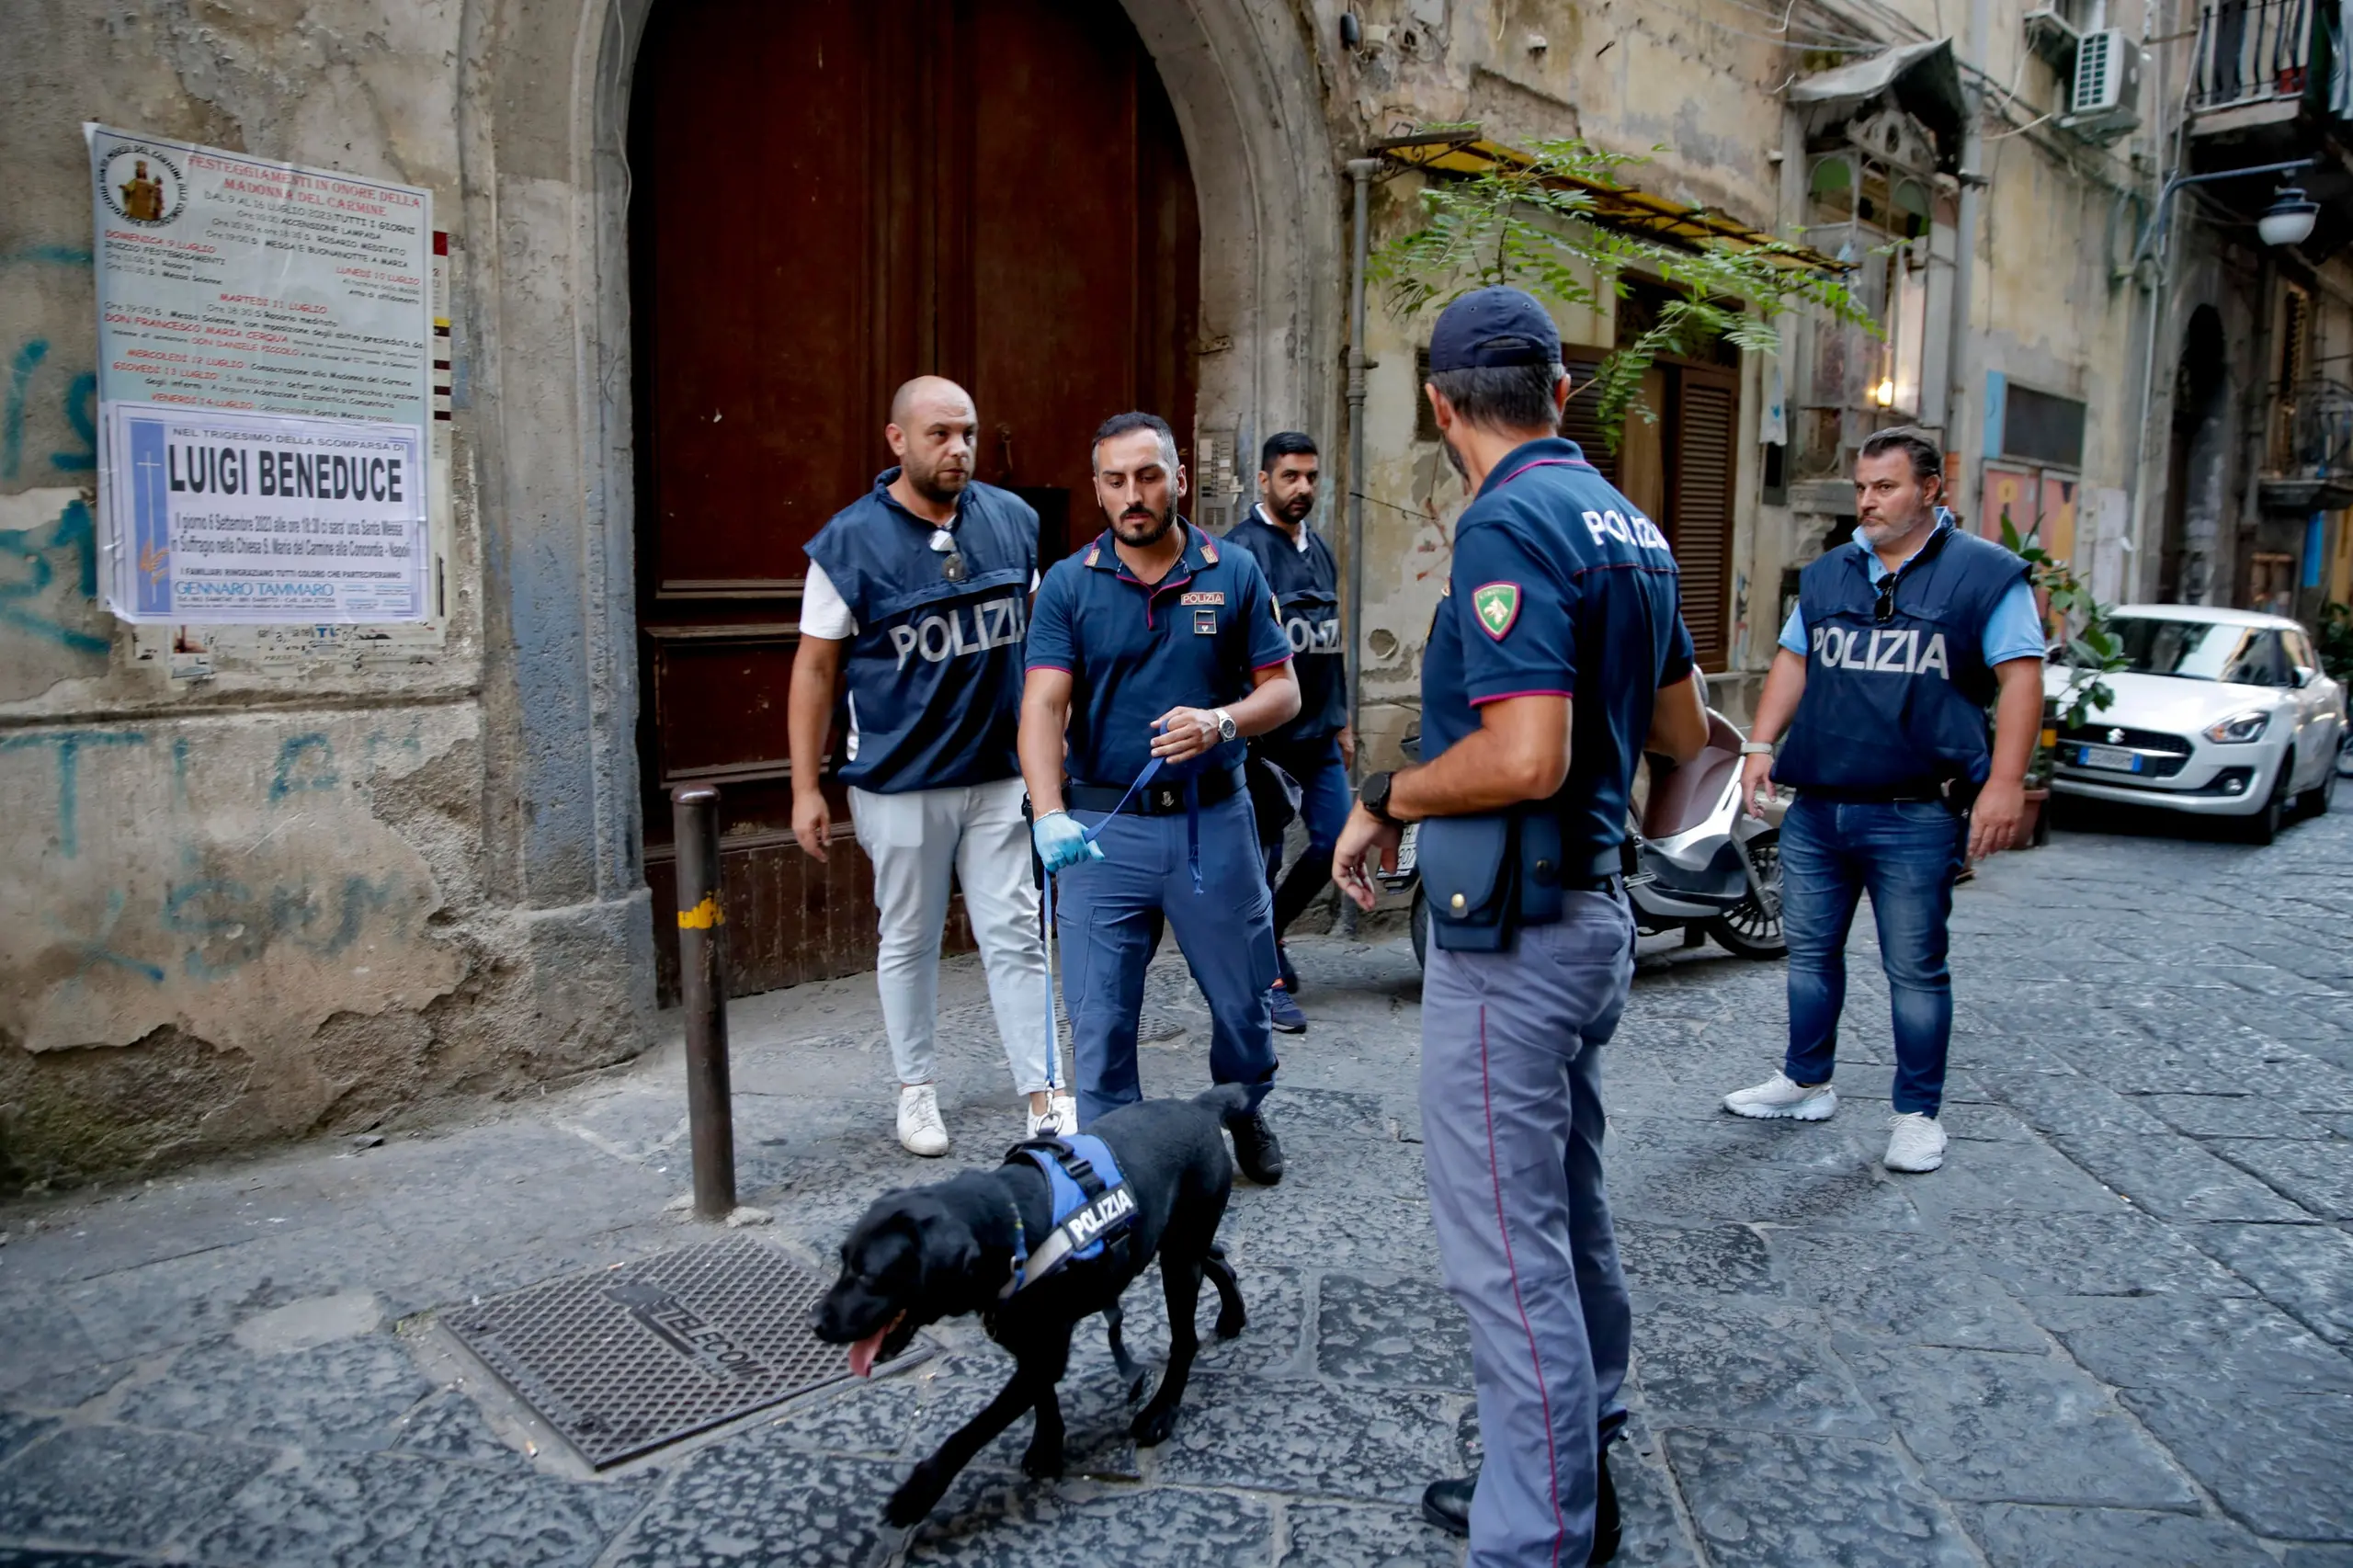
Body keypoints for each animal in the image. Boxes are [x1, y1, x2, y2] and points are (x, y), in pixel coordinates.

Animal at [809, 1083, 1251, 1516]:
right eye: (843, 1260)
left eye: (868, 1275)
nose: (815, 1321)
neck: (1010, 1226)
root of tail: (1200, 1105)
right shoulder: (1027, 1343)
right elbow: (1043, 1399)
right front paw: (1047, 1447)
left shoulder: (1044, 1352)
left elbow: (974, 1430)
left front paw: (920, 1490)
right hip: (1177, 1244)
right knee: (1218, 1260)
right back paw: (1232, 1317)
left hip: (1179, 1260)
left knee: (1185, 1340)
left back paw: (1161, 1412)